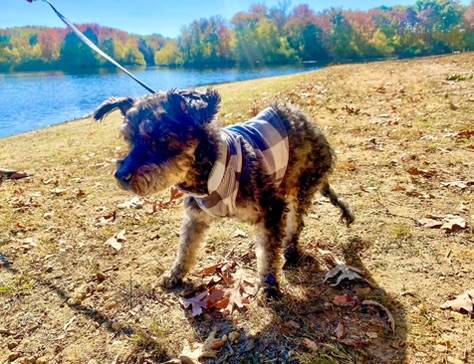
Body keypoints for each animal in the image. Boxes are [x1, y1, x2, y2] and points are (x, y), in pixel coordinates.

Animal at [93, 88, 352, 298]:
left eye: (162, 138)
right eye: (129, 139)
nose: (121, 175)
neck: (208, 174)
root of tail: (307, 120)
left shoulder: (272, 209)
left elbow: (268, 253)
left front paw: (269, 285)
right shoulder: (195, 218)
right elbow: (186, 248)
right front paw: (175, 274)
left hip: (302, 185)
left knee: (296, 221)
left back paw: (290, 249)